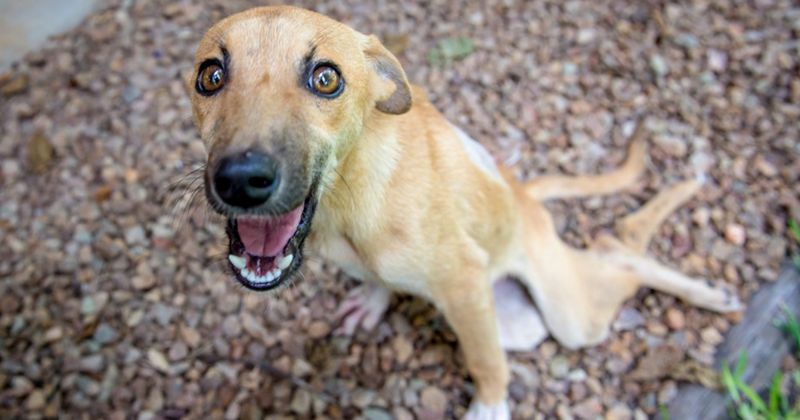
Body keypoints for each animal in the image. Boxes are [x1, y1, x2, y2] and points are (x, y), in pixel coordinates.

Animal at [189, 5, 744, 416]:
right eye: (210, 76)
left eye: (326, 79)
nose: (240, 180)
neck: (348, 202)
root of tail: (523, 193)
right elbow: (380, 280)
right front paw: (373, 300)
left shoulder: (464, 285)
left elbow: (484, 361)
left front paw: (491, 406)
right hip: (522, 323)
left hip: (570, 317)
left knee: (618, 248)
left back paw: (710, 291)